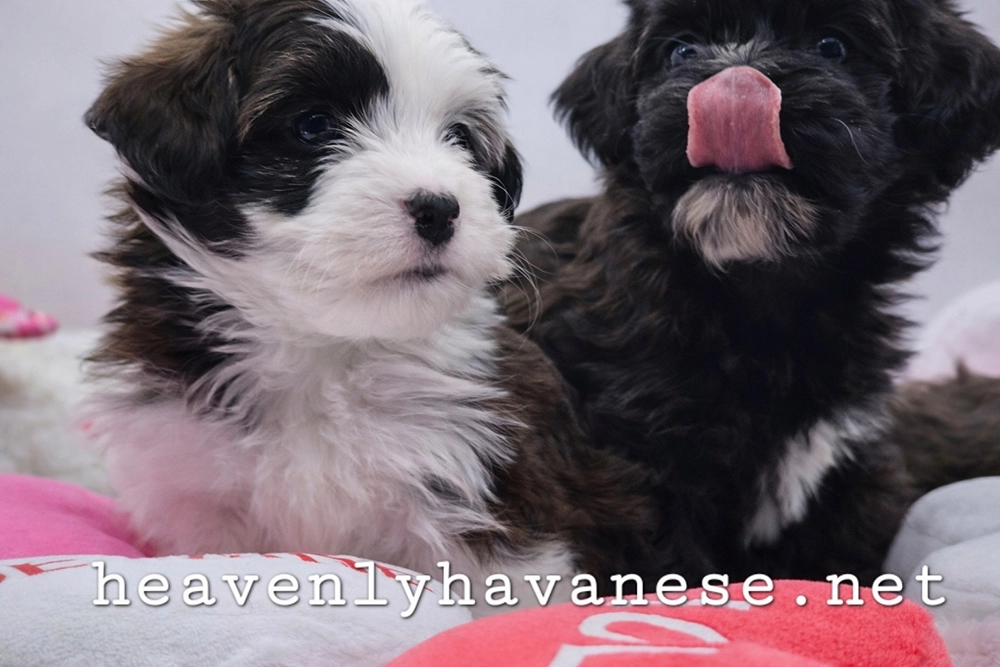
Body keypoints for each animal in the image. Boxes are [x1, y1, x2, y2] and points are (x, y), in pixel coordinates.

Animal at [83, 0, 657, 608]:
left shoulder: (490, 485)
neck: (326, 348)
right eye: (312, 125)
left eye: (458, 137)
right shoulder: (192, 488)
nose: (440, 208)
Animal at [503, 0, 1000, 583]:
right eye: (681, 51)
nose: (736, 81)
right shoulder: (644, 469)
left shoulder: (842, 463)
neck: (755, 286)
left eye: (832, 46)